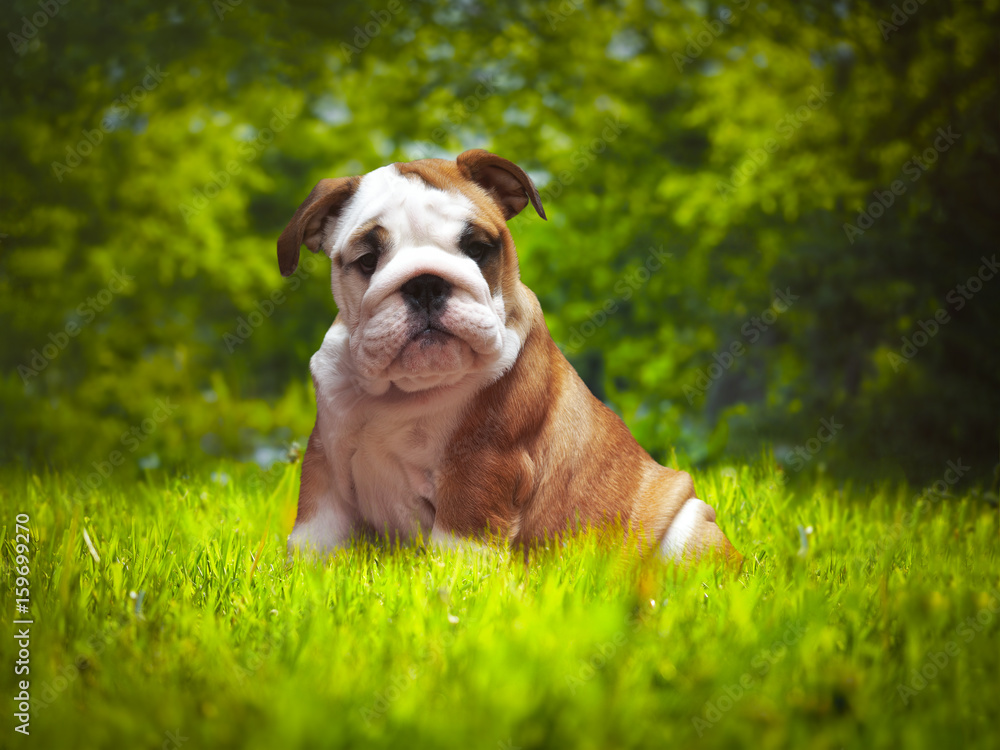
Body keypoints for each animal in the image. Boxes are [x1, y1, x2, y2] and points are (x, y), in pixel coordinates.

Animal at [278, 150, 740, 564]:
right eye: (368, 260)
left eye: (477, 248)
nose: (426, 283)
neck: (401, 391)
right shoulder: (326, 464)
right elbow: (315, 535)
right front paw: (304, 577)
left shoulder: (481, 463)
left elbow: (460, 543)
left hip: (683, 528)